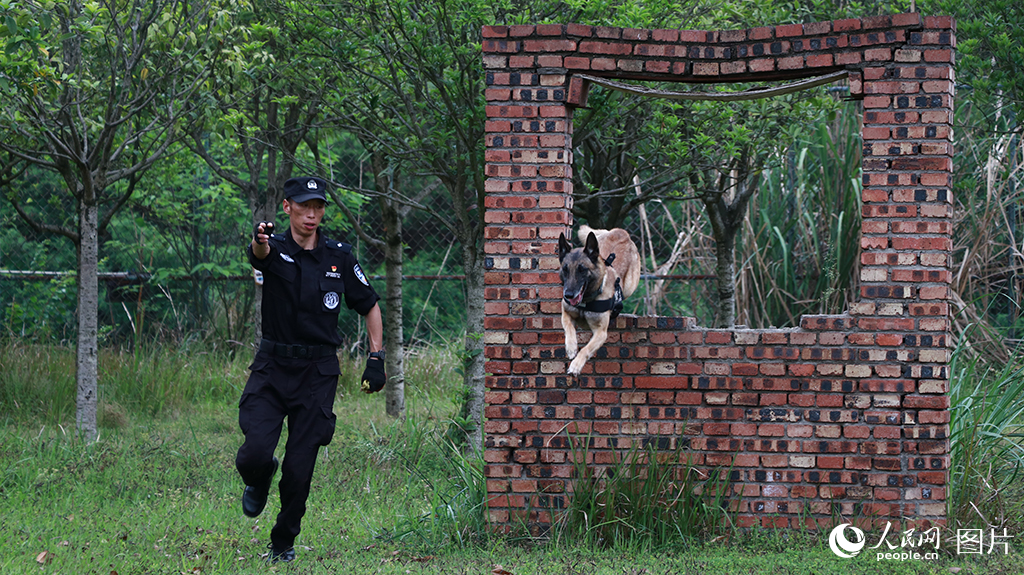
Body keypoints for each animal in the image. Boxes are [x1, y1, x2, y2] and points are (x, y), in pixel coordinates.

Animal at [561, 224, 638, 376]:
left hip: (630, 285)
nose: (568, 295)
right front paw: (571, 348)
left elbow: (585, 350)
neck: (586, 300)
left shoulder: (601, 333)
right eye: (565, 270)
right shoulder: (565, 314)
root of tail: (621, 232)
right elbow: (569, 329)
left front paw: (575, 366)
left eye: (582, 270)